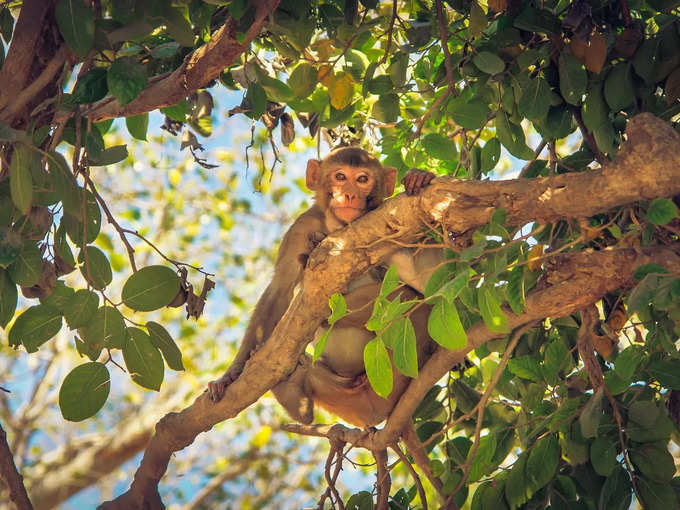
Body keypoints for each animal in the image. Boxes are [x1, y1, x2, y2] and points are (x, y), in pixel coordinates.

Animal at [209, 145, 440, 428]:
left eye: (362, 179)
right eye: (340, 176)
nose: (348, 194)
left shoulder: (388, 220)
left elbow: (429, 283)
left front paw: (420, 178)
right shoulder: (303, 226)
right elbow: (280, 289)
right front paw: (230, 376)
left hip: (393, 378)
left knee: (411, 296)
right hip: (341, 396)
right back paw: (295, 396)